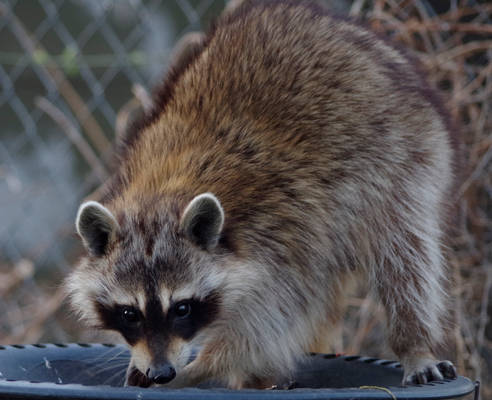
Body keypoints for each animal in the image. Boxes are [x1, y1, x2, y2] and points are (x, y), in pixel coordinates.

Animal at [65, 0, 458, 390]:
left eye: (182, 308)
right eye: (129, 313)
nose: (162, 371)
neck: (162, 192)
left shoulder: (286, 234)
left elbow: (268, 324)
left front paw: (206, 366)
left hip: (404, 159)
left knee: (405, 254)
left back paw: (413, 341)